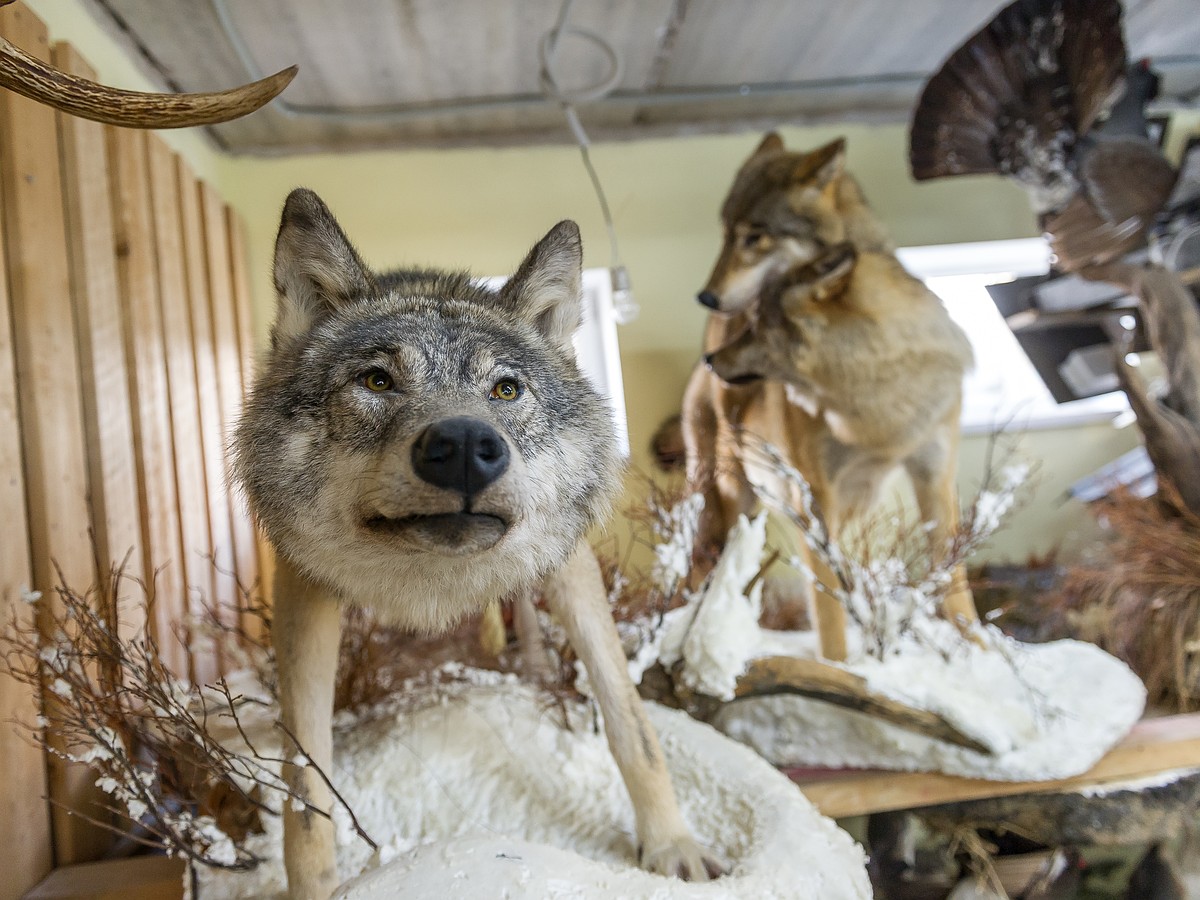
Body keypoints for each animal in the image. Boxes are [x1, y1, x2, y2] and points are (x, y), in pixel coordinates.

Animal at [238, 187, 715, 897]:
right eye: (377, 382)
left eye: (506, 389)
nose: (464, 445)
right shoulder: (305, 595)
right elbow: (305, 788)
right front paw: (316, 887)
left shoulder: (571, 568)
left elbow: (631, 721)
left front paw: (671, 847)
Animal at [686, 133, 974, 657]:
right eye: (725, 234)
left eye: (754, 237)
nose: (712, 358)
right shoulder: (815, 503)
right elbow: (831, 616)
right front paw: (847, 668)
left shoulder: (935, 479)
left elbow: (957, 591)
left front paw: (988, 660)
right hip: (731, 498)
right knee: (707, 568)